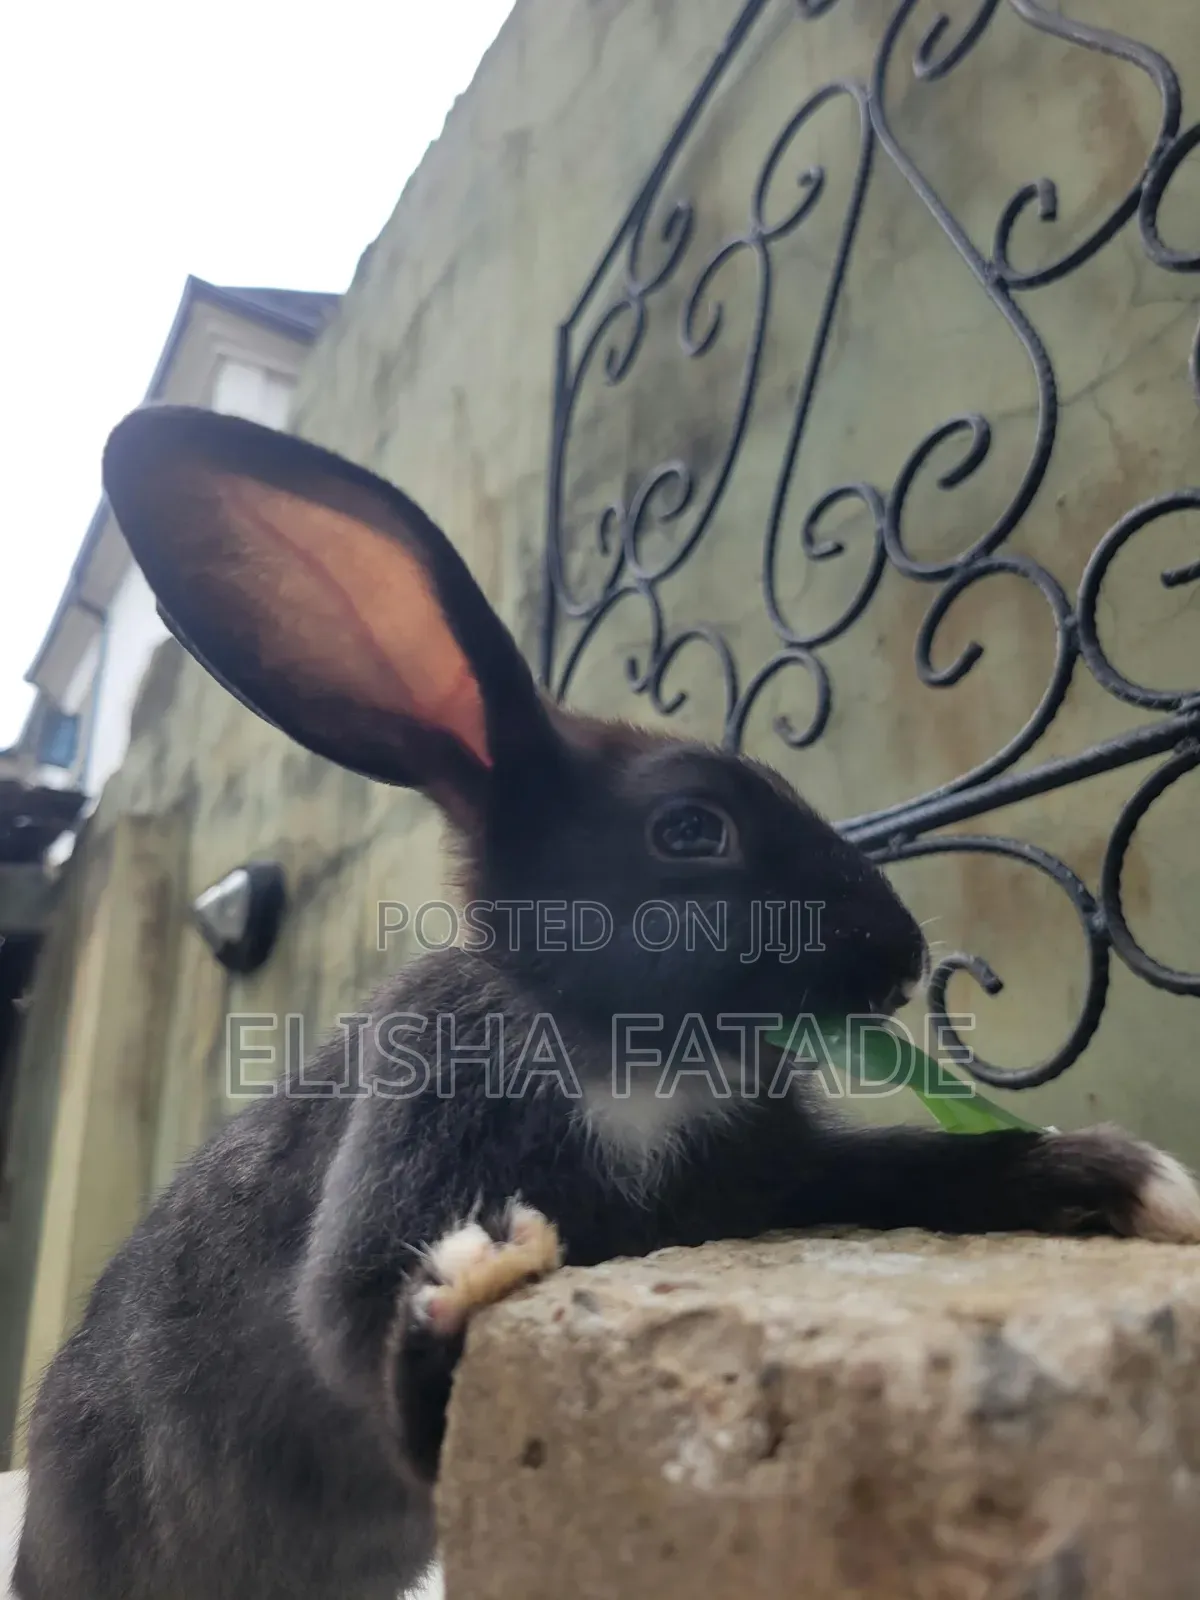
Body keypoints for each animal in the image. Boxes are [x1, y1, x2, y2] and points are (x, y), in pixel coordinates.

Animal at [15, 404, 1200, 1600]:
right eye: (689, 828)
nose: (905, 960)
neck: (626, 1056)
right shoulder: (402, 1166)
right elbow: (378, 1354)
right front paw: (468, 1288)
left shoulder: (768, 1173)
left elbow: (914, 1167)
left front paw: (1129, 1180)